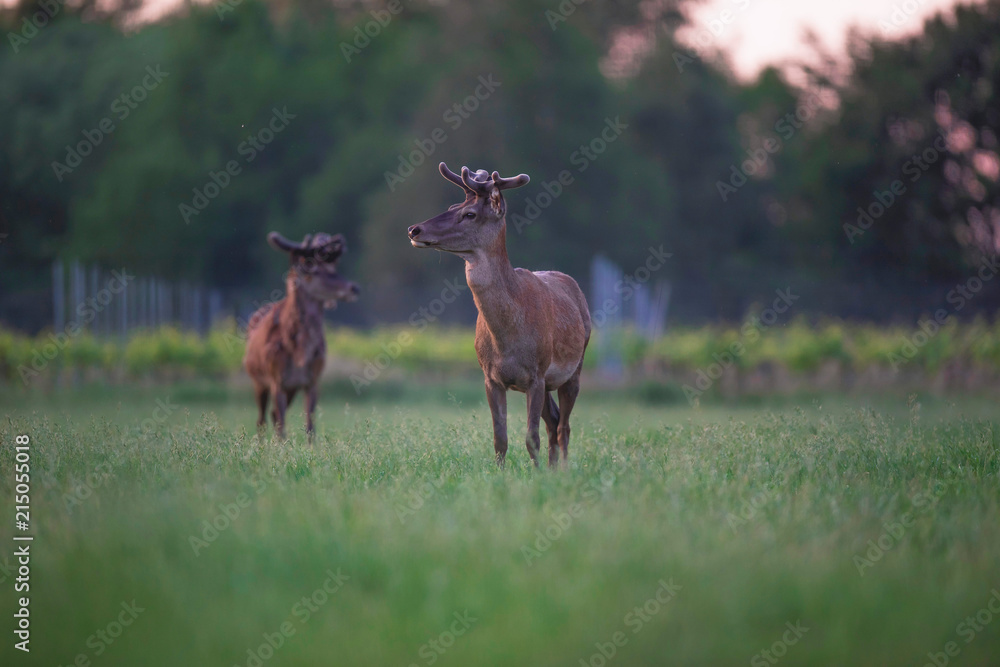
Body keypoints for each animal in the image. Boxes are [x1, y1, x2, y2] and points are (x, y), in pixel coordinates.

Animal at [244, 232, 360, 440]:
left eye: (333, 268)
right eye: (316, 271)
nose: (354, 288)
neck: (299, 352)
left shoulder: (312, 380)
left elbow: (310, 426)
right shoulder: (276, 379)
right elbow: (281, 426)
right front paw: (281, 446)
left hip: (291, 388)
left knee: (272, 415)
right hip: (257, 379)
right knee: (261, 420)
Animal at [408, 162, 591, 468]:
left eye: (469, 214)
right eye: (453, 205)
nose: (414, 229)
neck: (507, 338)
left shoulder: (537, 374)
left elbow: (531, 437)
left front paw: (537, 473)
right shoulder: (490, 377)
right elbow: (500, 438)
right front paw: (502, 473)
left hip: (574, 368)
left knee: (564, 426)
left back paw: (562, 469)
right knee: (554, 421)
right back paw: (554, 468)